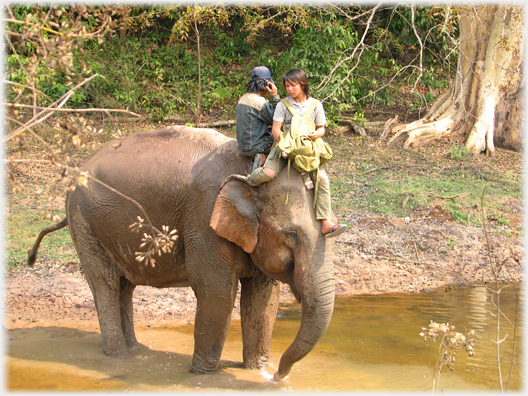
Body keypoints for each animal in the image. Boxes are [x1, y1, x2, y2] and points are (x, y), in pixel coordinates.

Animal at [27, 124, 334, 380]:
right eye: (291, 235)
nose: (279, 375)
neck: (252, 167)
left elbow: (262, 299)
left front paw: (255, 371)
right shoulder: (203, 218)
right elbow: (216, 292)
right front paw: (201, 376)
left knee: (124, 286)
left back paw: (135, 350)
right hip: (84, 221)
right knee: (106, 283)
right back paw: (119, 357)